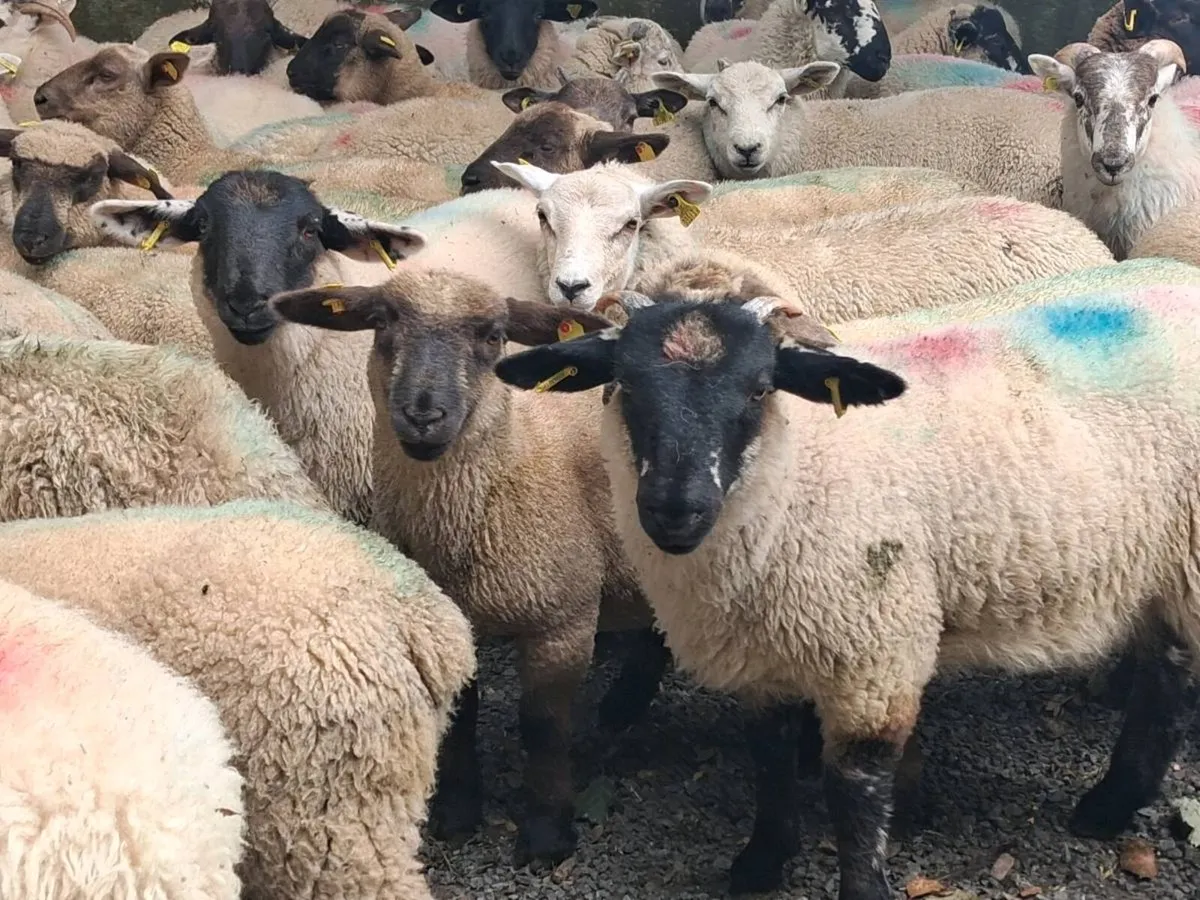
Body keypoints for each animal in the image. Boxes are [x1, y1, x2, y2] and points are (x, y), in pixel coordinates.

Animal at [266, 268, 671, 866]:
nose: (423, 414)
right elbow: (460, 719)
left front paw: (546, 834)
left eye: (493, 334)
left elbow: (544, 729)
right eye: (381, 320)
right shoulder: (451, 626)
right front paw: (457, 814)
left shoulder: (564, 621)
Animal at [493, 281, 1200, 899]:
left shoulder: (875, 652)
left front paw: (859, 882)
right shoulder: (761, 651)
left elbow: (855, 791)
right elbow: (770, 755)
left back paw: (1106, 806)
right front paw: (762, 862)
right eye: (623, 385)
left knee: (1167, 685)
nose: (674, 509)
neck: (795, 470)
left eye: (759, 389)